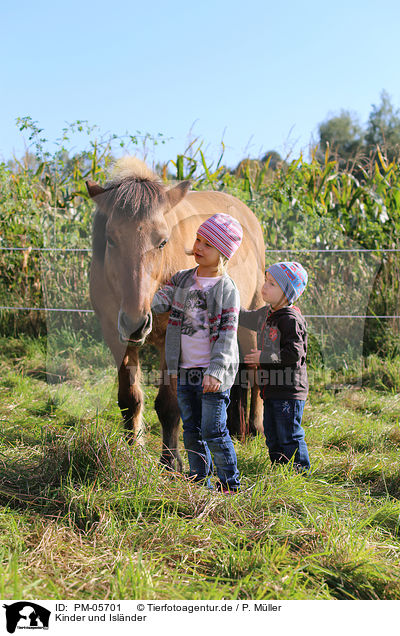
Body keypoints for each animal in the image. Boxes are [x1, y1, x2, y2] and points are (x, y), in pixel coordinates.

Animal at [86, 157, 266, 470]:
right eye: (110, 239)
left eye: (162, 242)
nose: (135, 322)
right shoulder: (116, 337)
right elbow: (130, 398)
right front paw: (133, 451)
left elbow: (168, 405)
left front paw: (171, 463)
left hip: (249, 319)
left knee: (254, 371)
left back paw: (254, 428)